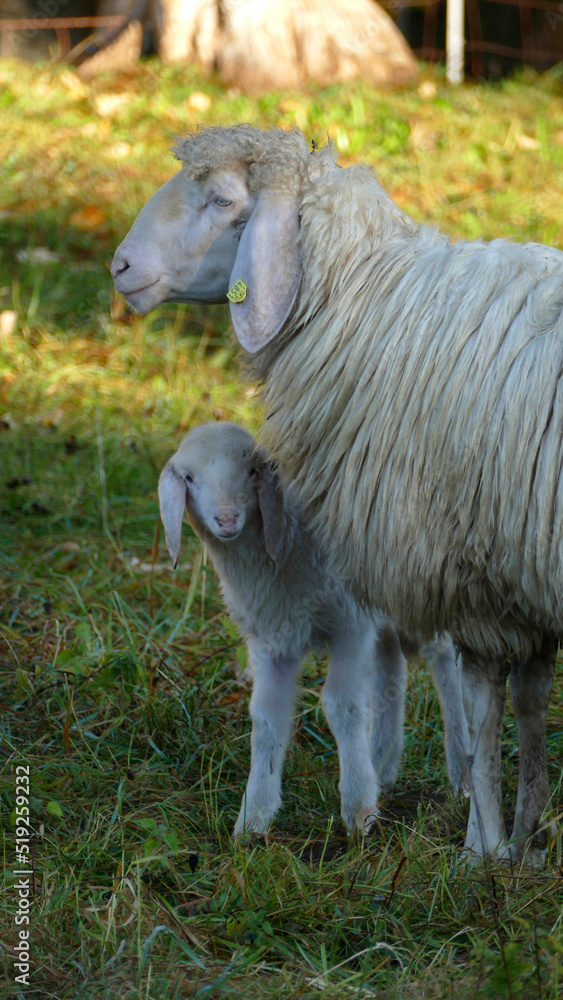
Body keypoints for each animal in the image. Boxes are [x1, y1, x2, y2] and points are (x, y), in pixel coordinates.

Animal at [158, 421, 469, 836]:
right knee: (389, 668)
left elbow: (342, 704)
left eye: (252, 471)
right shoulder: (270, 640)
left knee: (444, 661)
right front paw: (253, 818)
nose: (226, 520)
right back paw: (381, 766)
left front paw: (357, 809)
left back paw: (462, 772)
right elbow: (266, 719)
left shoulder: (348, 624)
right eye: (189, 477)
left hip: (415, 587)